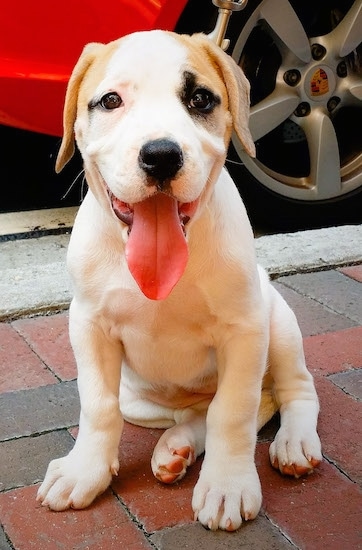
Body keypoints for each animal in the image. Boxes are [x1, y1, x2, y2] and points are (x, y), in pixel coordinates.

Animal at [36, 30, 320, 532]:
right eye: (110, 100)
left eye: (200, 99)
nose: (161, 155)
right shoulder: (88, 325)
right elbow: (98, 406)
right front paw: (84, 471)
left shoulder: (246, 329)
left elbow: (234, 411)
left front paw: (227, 486)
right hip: (140, 398)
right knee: (196, 411)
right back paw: (177, 446)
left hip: (278, 324)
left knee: (288, 391)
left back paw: (295, 442)